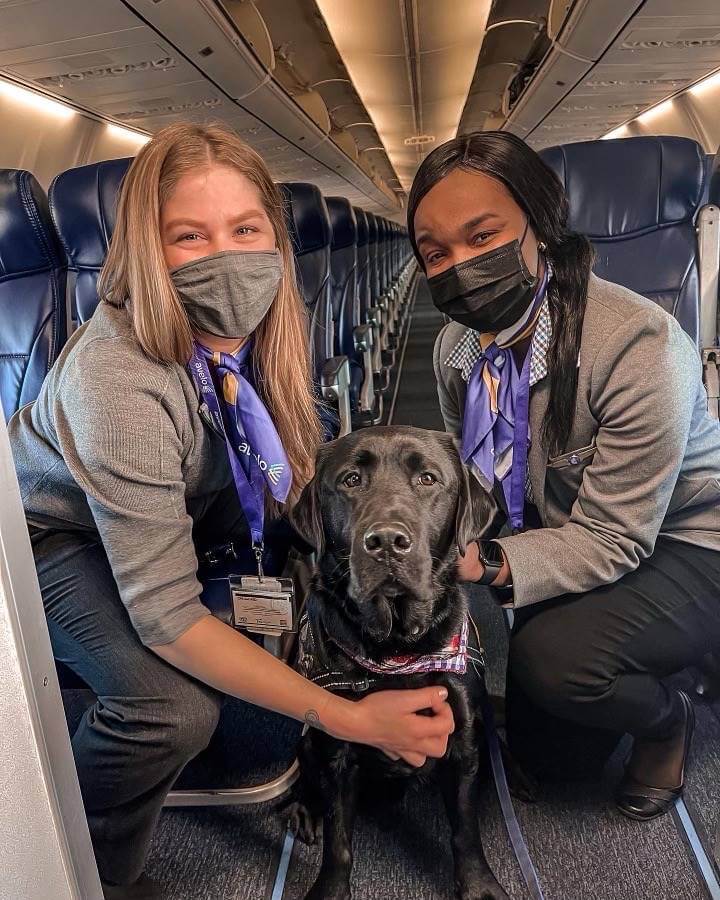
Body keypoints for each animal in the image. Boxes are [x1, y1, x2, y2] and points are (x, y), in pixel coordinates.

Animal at [290, 424, 510, 900]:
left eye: (427, 479)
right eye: (351, 480)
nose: (387, 542)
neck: (395, 648)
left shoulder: (463, 739)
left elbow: (465, 829)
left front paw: (479, 884)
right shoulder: (336, 745)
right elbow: (338, 839)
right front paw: (330, 889)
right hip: (310, 736)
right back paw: (301, 808)